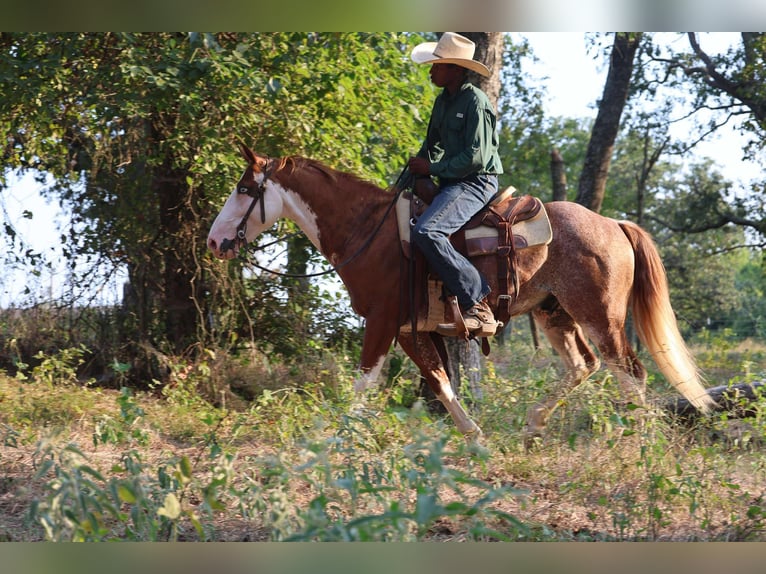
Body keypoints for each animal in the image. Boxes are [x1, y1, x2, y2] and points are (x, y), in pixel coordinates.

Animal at [207, 144, 716, 445]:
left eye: (245, 188)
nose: (214, 241)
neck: (370, 232)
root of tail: (613, 223)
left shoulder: (382, 322)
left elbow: (365, 383)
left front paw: (335, 439)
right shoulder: (410, 329)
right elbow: (440, 381)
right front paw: (475, 437)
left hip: (599, 314)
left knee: (630, 371)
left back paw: (642, 442)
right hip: (554, 313)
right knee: (583, 365)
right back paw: (534, 424)